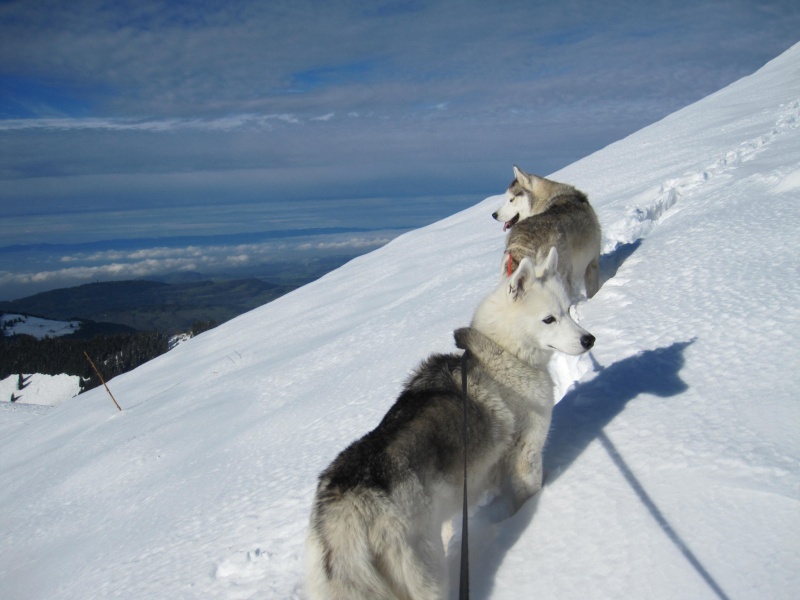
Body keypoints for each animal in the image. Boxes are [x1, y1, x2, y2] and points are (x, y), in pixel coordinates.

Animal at [306, 248, 592, 600]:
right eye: (549, 319)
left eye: (567, 310)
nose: (589, 339)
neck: (504, 355)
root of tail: (345, 511)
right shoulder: (526, 456)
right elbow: (529, 493)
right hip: (427, 575)